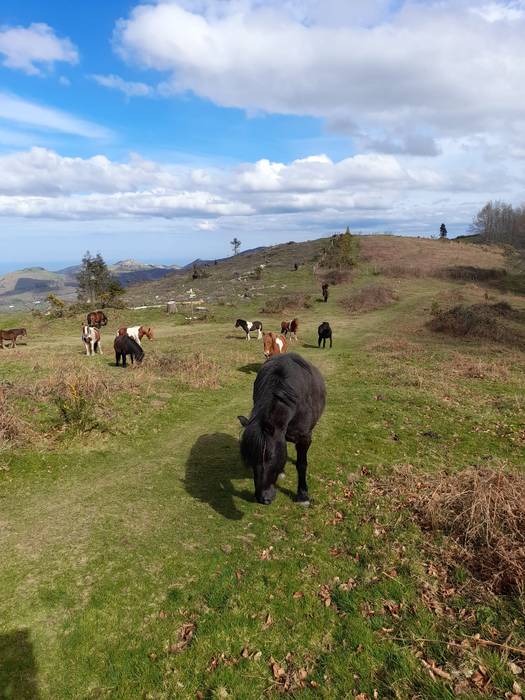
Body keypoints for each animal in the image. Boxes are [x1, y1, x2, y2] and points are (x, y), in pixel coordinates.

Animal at [236, 352, 324, 506]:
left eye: (270, 456)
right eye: (249, 458)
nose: (263, 498)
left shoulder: (304, 437)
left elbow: (302, 464)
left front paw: (303, 496)